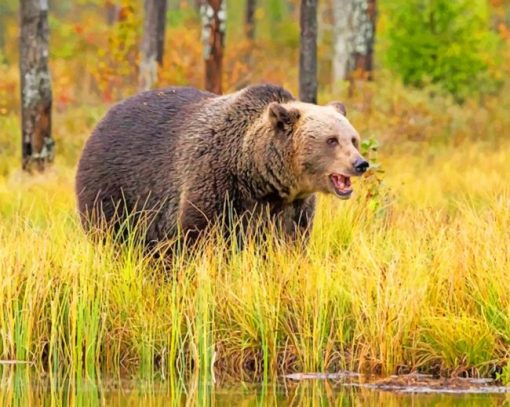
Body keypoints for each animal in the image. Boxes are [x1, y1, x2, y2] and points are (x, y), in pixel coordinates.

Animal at [75, 86, 368, 249]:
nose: (360, 163)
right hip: (116, 188)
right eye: (332, 140)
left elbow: (290, 241)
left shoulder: (292, 207)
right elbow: (199, 234)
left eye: (353, 139)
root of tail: (102, 119)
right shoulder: (215, 181)